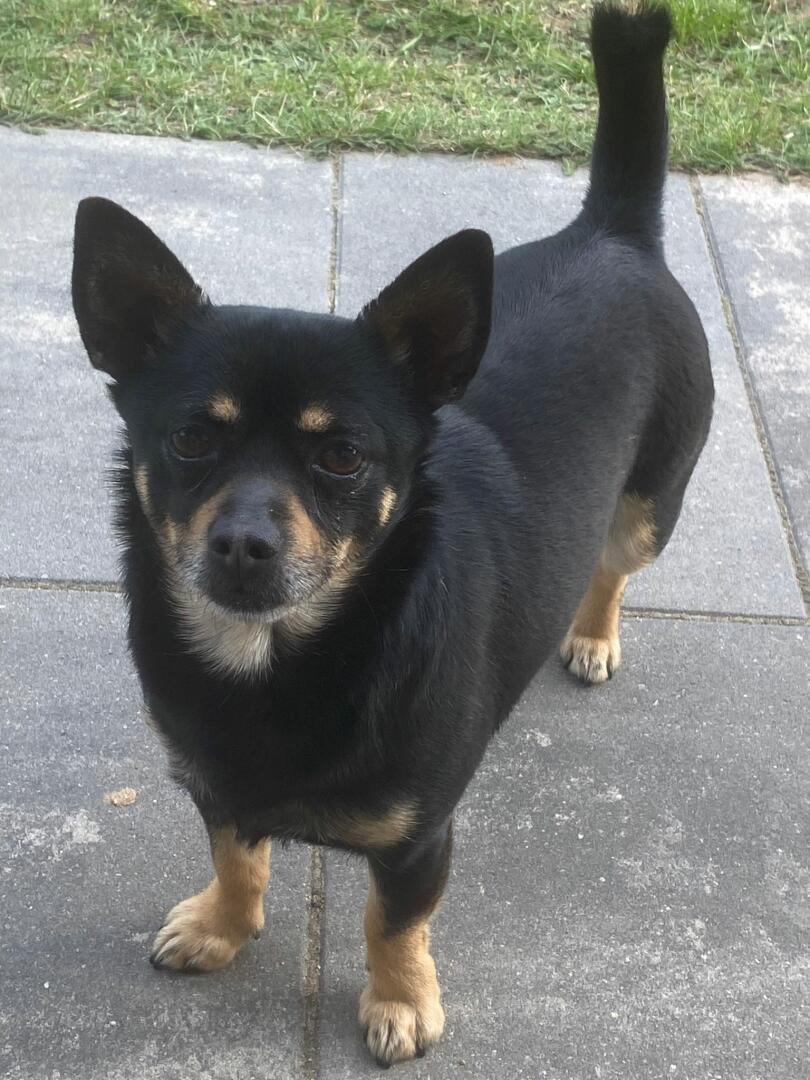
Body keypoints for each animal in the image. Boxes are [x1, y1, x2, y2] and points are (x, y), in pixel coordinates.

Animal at [71, 3, 712, 1066]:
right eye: (192, 439)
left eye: (342, 457)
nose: (242, 544)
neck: (277, 663)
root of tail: (613, 230)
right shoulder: (216, 789)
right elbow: (237, 859)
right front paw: (222, 927)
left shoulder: (418, 839)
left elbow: (393, 921)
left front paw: (401, 1000)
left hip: (648, 512)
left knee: (614, 565)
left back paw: (591, 634)